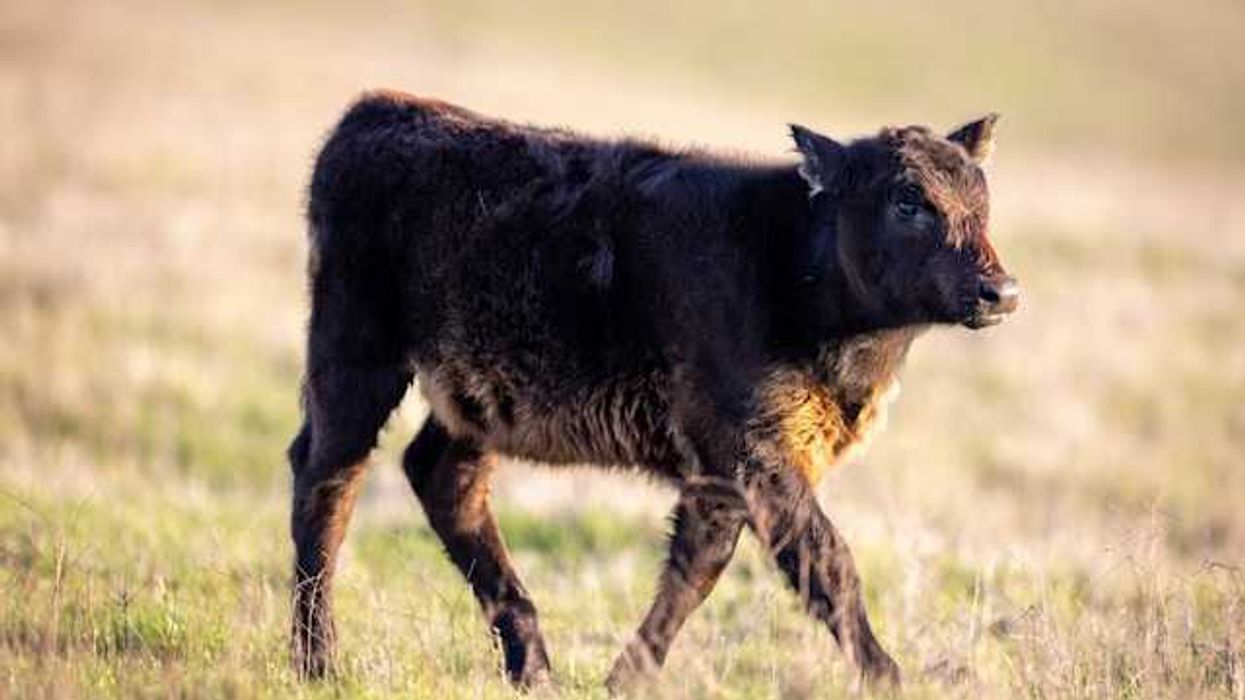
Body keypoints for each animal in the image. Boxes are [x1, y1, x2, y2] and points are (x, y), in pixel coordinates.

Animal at [287, 89, 1019, 691]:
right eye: (906, 199)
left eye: (981, 198)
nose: (1001, 291)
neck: (792, 260)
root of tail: (372, 114)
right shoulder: (754, 456)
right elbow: (824, 562)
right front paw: (888, 676)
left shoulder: (721, 474)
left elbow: (699, 566)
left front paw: (623, 678)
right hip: (355, 360)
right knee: (328, 481)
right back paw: (320, 664)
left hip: (473, 407)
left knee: (441, 480)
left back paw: (533, 667)